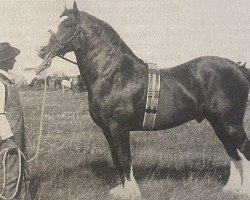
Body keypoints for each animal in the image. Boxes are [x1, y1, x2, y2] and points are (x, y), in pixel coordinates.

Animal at [39, 1, 250, 198]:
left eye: (68, 25)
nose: (42, 51)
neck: (115, 74)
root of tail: (239, 68)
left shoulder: (119, 126)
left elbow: (125, 158)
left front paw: (132, 192)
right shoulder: (107, 129)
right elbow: (116, 158)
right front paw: (122, 190)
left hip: (230, 122)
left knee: (243, 149)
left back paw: (243, 191)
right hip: (217, 122)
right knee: (233, 152)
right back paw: (231, 189)